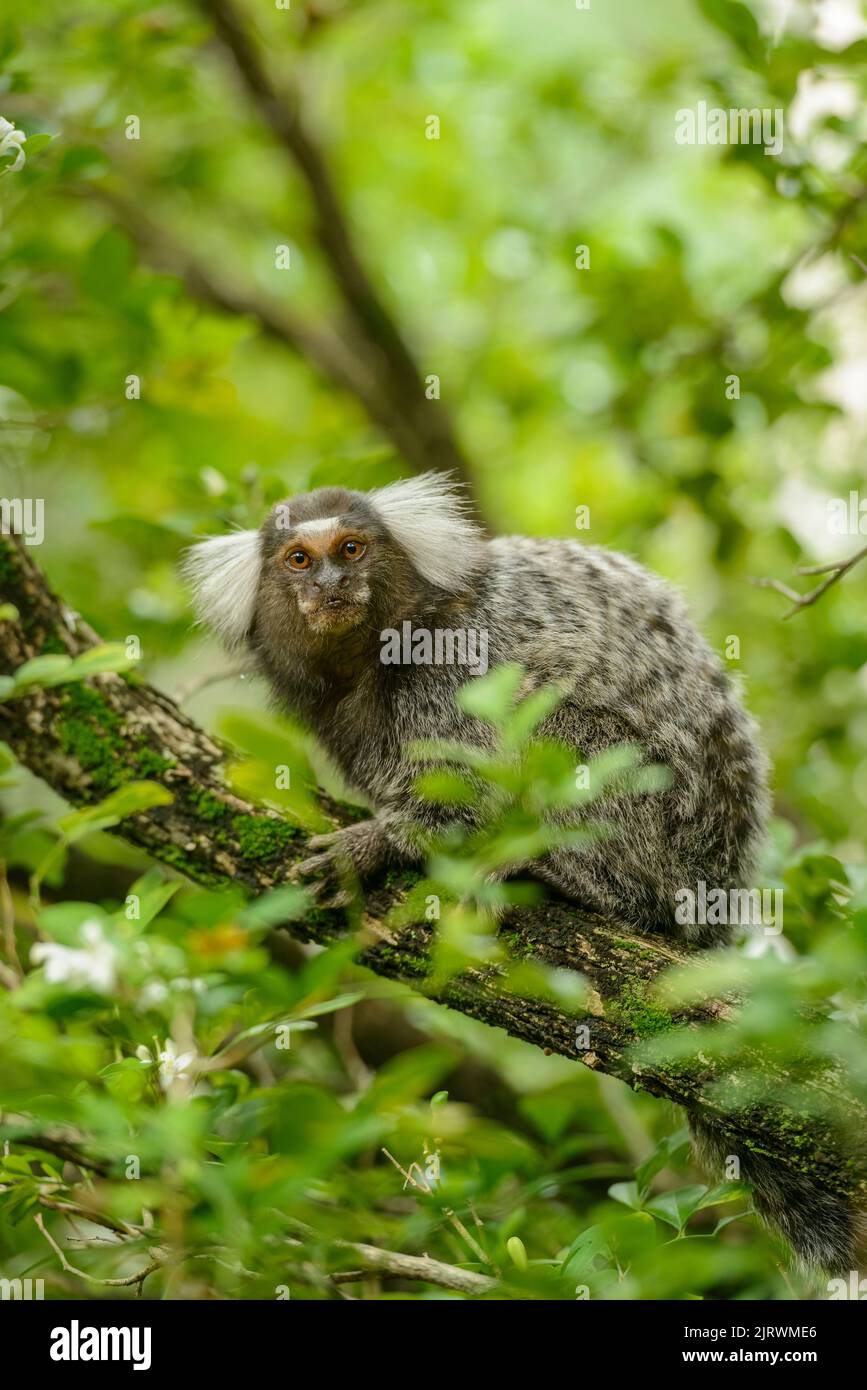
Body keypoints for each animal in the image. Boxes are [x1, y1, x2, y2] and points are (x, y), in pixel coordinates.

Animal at [184, 472, 855, 1273]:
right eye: (297, 560)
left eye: (350, 549)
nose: (331, 585)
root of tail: (717, 886)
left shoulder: (453, 670)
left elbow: (461, 791)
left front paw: (376, 844)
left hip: (657, 822)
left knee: (560, 729)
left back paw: (567, 881)